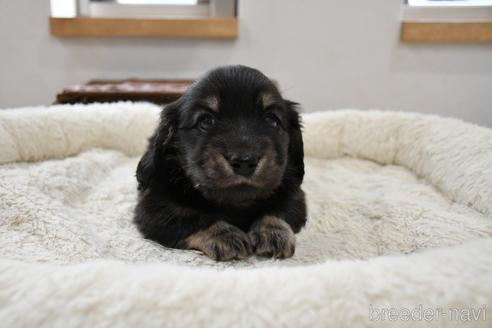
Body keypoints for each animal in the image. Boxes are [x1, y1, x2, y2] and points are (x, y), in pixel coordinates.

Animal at [133, 64, 306, 262]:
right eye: (206, 120)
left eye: (271, 119)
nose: (244, 161)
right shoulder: (153, 206)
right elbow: (189, 216)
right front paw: (224, 235)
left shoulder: (295, 195)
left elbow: (280, 208)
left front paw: (273, 232)